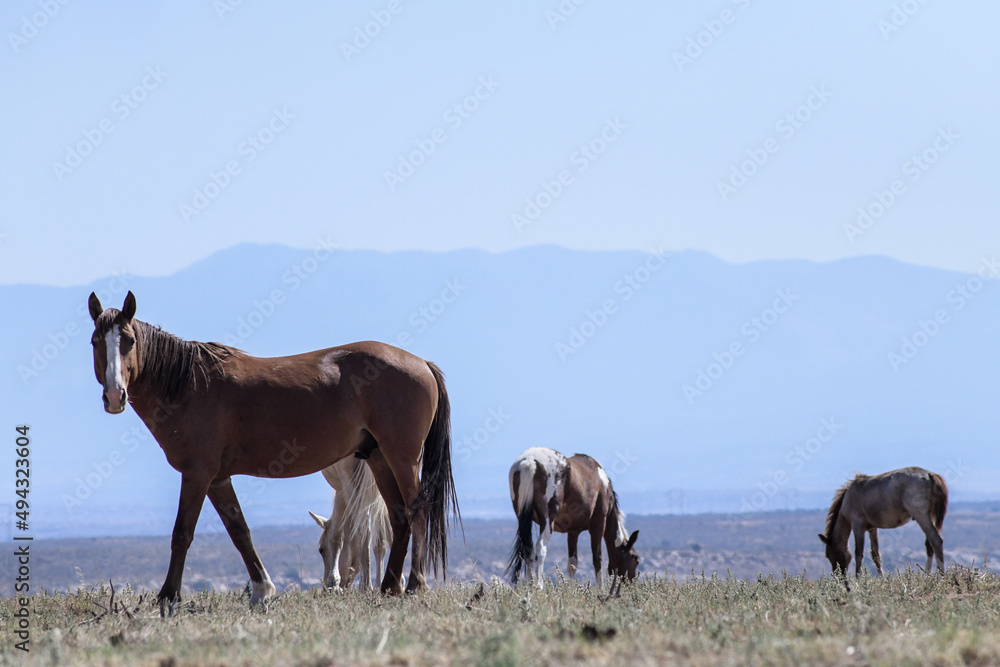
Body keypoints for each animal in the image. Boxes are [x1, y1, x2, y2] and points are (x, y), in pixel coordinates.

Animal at [309, 455, 392, 590]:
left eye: (321, 550)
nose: (325, 588)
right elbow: (382, 539)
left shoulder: (340, 489)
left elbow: (335, 535)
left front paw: (334, 581)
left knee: (364, 533)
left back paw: (365, 587)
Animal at [505, 447, 639, 588]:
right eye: (635, 558)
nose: (630, 584)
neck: (603, 485)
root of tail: (530, 461)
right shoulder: (598, 523)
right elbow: (597, 558)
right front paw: (600, 588)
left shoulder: (573, 532)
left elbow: (572, 564)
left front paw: (569, 587)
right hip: (547, 521)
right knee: (540, 548)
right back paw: (539, 585)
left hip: (523, 519)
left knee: (528, 549)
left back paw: (531, 586)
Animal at [818, 466, 947, 578]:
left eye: (828, 554)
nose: (838, 577)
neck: (848, 499)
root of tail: (930, 474)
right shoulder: (872, 529)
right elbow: (875, 555)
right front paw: (882, 579)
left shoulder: (857, 525)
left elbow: (858, 553)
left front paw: (858, 579)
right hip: (929, 517)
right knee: (929, 544)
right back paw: (927, 575)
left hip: (921, 516)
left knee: (935, 540)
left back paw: (940, 575)